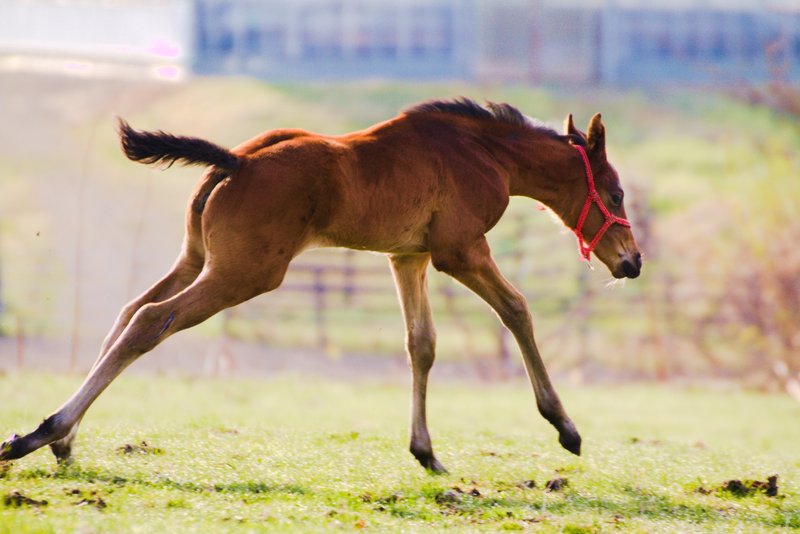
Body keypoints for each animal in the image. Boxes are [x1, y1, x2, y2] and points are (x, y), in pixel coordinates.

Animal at [0, 98, 640, 476]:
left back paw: (62, 440)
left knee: (130, 310)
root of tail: (234, 161)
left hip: (198, 258)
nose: (632, 262)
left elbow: (422, 344)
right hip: (245, 272)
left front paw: (426, 452)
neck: (483, 152)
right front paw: (564, 427)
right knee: (149, 320)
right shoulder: (459, 250)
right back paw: (41, 433)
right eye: (614, 193)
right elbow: (517, 309)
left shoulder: (408, 255)